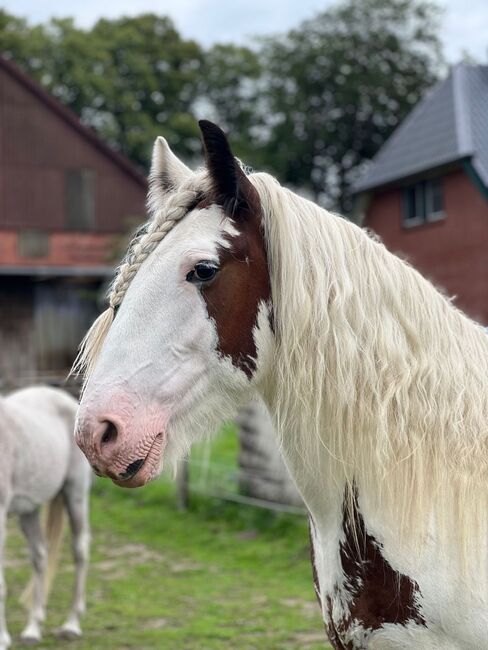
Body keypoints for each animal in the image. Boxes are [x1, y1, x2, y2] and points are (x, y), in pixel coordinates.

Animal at [0, 382, 90, 644]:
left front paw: (2, 639)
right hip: (28, 511)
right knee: (40, 555)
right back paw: (33, 629)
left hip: (75, 496)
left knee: (80, 551)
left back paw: (71, 625)